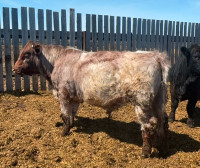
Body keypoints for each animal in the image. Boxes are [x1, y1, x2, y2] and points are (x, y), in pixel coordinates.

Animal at [12, 40, 170, 158]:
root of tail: (155, 56)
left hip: (141, 102)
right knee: (162, 120)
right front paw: (71, 126)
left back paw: (145, 152)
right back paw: (161, 146)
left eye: (26, 54)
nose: (13, 69)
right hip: (158, 100)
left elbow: (65, 115)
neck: (56, 62)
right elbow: (71, 115)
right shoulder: (74, 97)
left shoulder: (63, 94)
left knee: (149, 125)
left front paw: (63, 132)